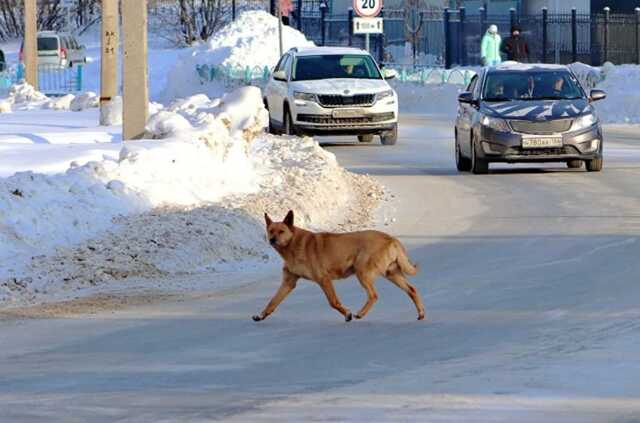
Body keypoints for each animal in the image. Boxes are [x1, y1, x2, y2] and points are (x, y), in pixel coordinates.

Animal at [251, 210, 424, 322]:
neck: (294, 245)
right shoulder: (288, 282)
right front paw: (261, 315)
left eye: (281, 231)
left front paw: (347, 314)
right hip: (392, 274)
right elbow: (272, 302)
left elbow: (333, 302)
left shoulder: (324, 279)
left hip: (362, 273)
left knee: (374, 295)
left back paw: (360, 313)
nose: (272, 240)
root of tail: (391, 239)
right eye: (270, 231)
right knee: (412, 290)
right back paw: (421, 314)